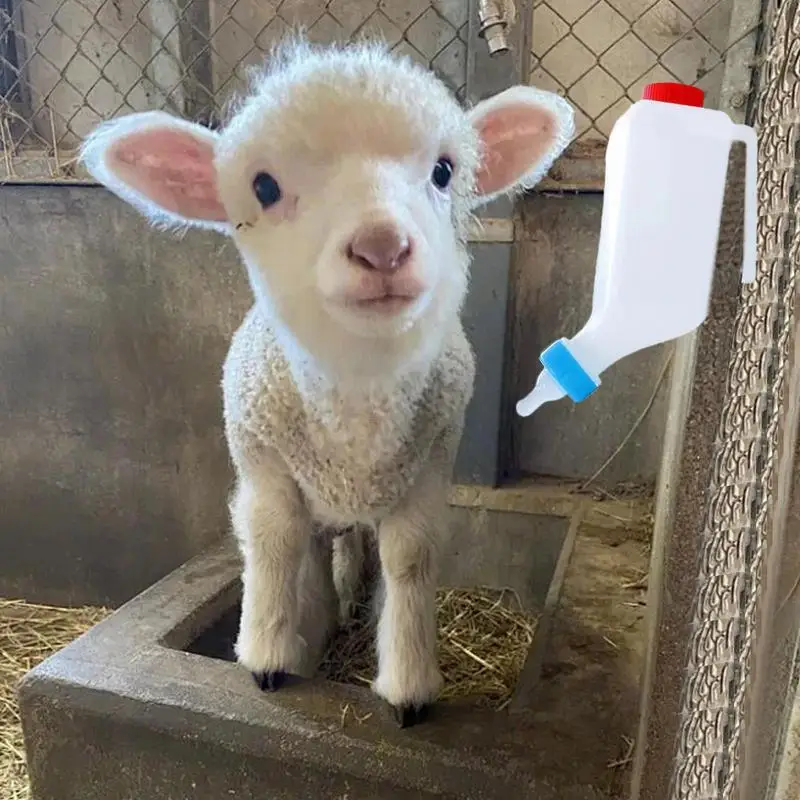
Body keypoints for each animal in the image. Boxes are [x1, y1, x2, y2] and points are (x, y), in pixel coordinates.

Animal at [80, 38, 575, 728]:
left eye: (444, 171)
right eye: (263, 187)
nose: (382, 246)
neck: (358, 405)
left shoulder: (428, 470)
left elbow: (411, 560)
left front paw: (409, 684)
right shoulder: (263, 466)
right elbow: (273, 544)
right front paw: (269, 657)